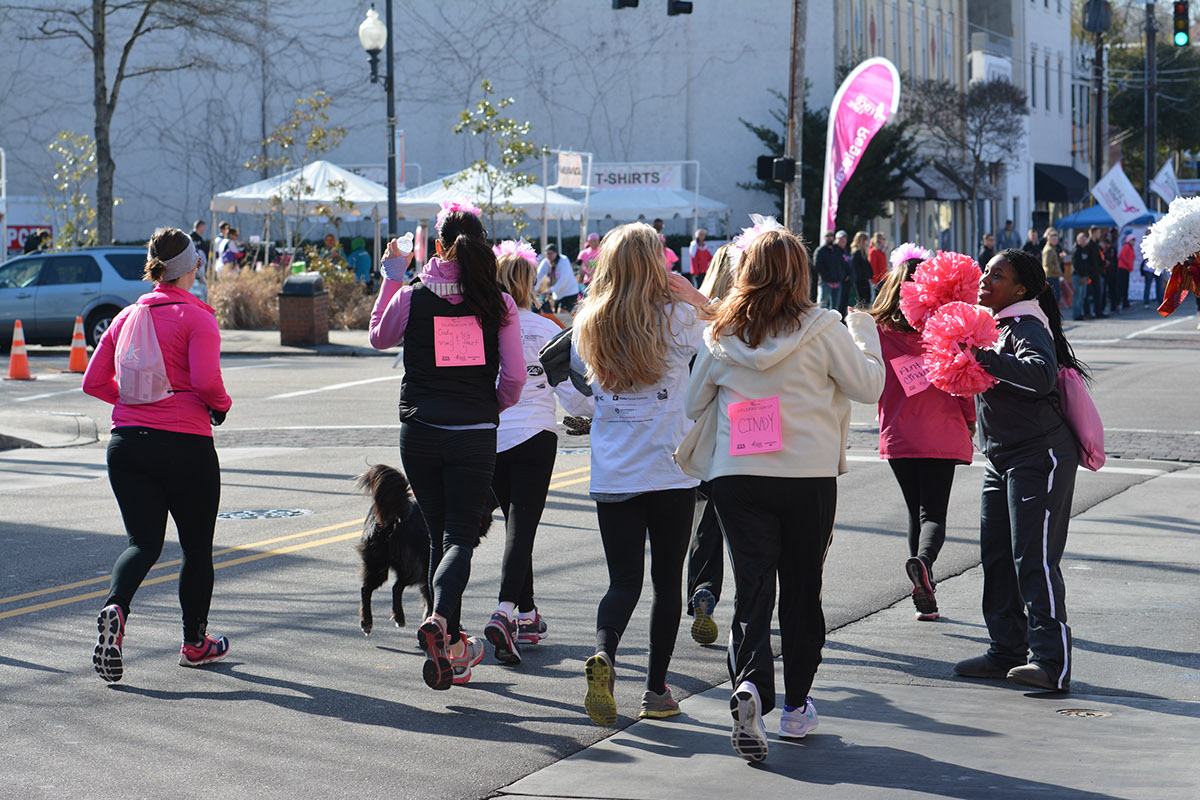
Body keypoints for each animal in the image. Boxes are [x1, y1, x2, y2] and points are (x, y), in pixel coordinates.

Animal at [352, 462, 494, 638]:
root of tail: (396, 516)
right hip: (414, 567)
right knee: (396, 586)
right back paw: (397, 618)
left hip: (377, 563)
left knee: (369, 588)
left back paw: (369, 622)